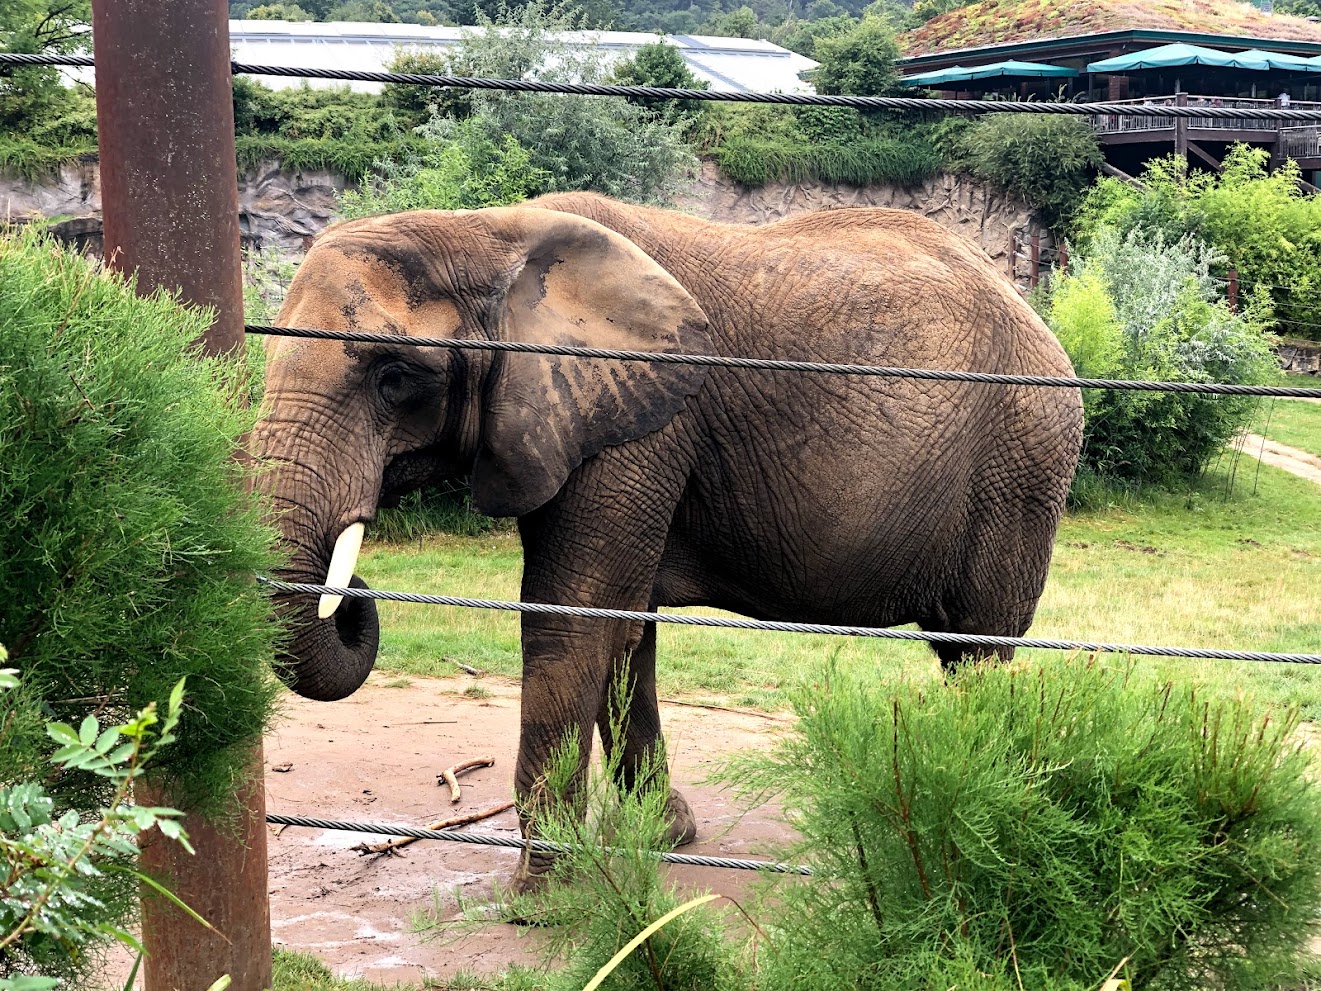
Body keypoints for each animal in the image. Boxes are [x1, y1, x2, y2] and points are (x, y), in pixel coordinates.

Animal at [250, 192, 1083, 889]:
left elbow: (569, 611)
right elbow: (621, 626)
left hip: (1021, 464)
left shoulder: (637, 420)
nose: (351, 594)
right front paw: (659, 834)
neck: (486, 234)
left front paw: (541, 891)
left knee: (977, 648)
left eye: (394, 377)